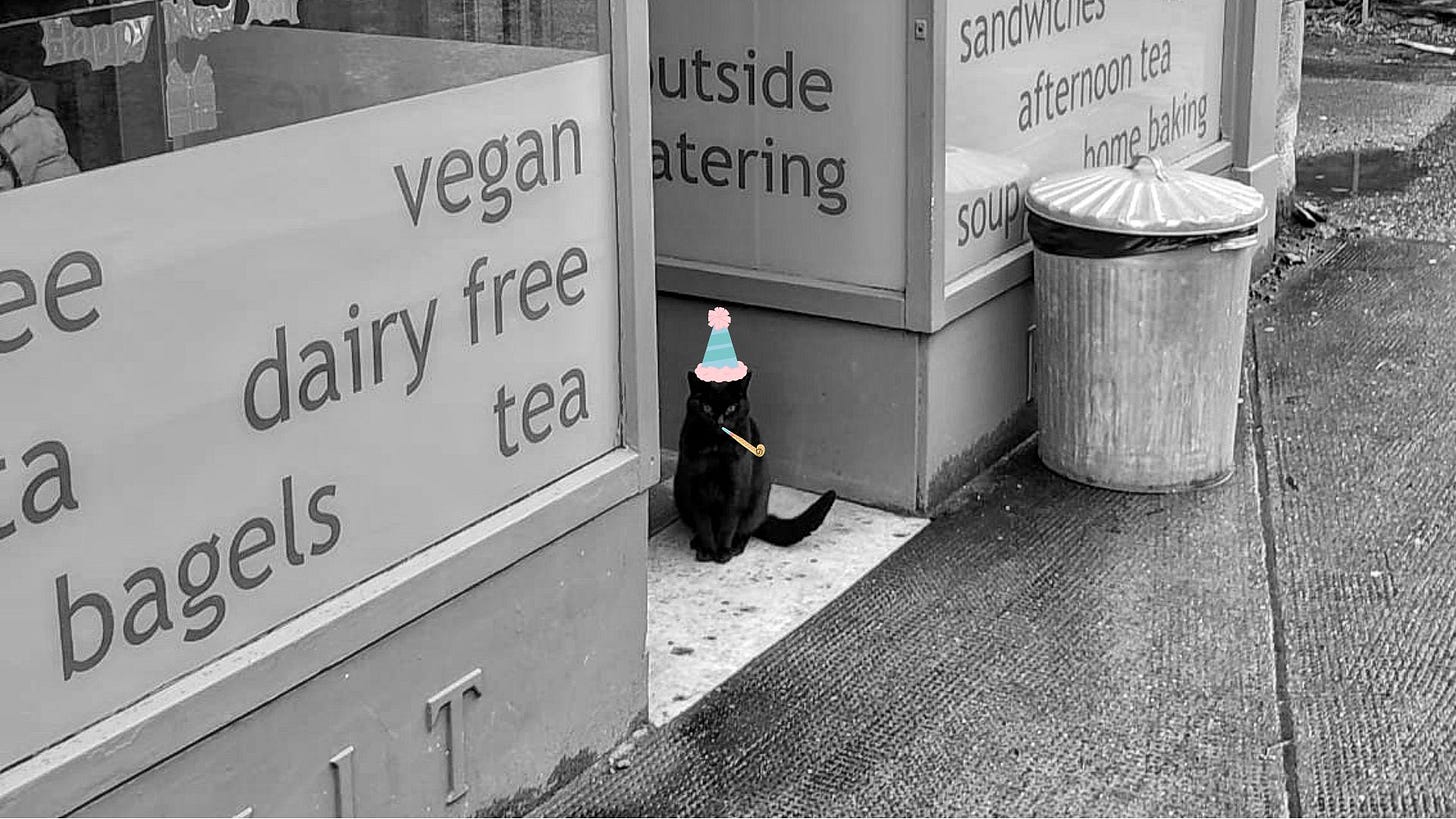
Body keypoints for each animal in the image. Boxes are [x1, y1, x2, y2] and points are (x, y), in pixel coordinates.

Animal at [672, 370, 838, 559]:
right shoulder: (696, 488)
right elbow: (704, 523)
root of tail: (763, 517)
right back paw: (697, 542)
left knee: (746, 530)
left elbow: (728, 523)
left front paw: (723, 551)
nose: (719, 421)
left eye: (731, 408)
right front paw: (707, 549)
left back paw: (735, 546)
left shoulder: (736, 487)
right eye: (706, 407)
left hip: (754, 507)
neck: (716, 447)